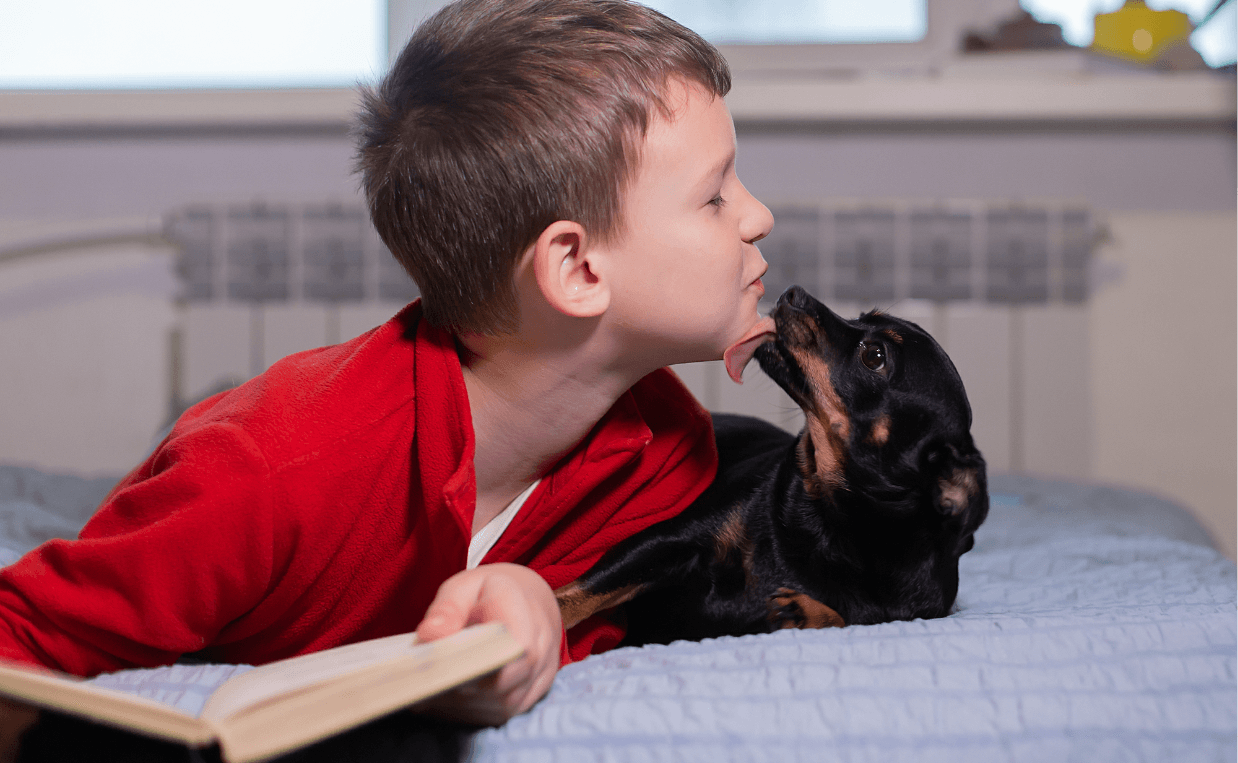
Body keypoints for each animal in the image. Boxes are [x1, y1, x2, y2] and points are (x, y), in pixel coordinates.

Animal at [557, 286, 990, 644]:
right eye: (861, 317)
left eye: (874, 355)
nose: (793, 293)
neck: (837, 519)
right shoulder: (664, 540)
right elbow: (573, 596)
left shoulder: (902, 614)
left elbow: (846, 619)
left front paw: (809, 613)